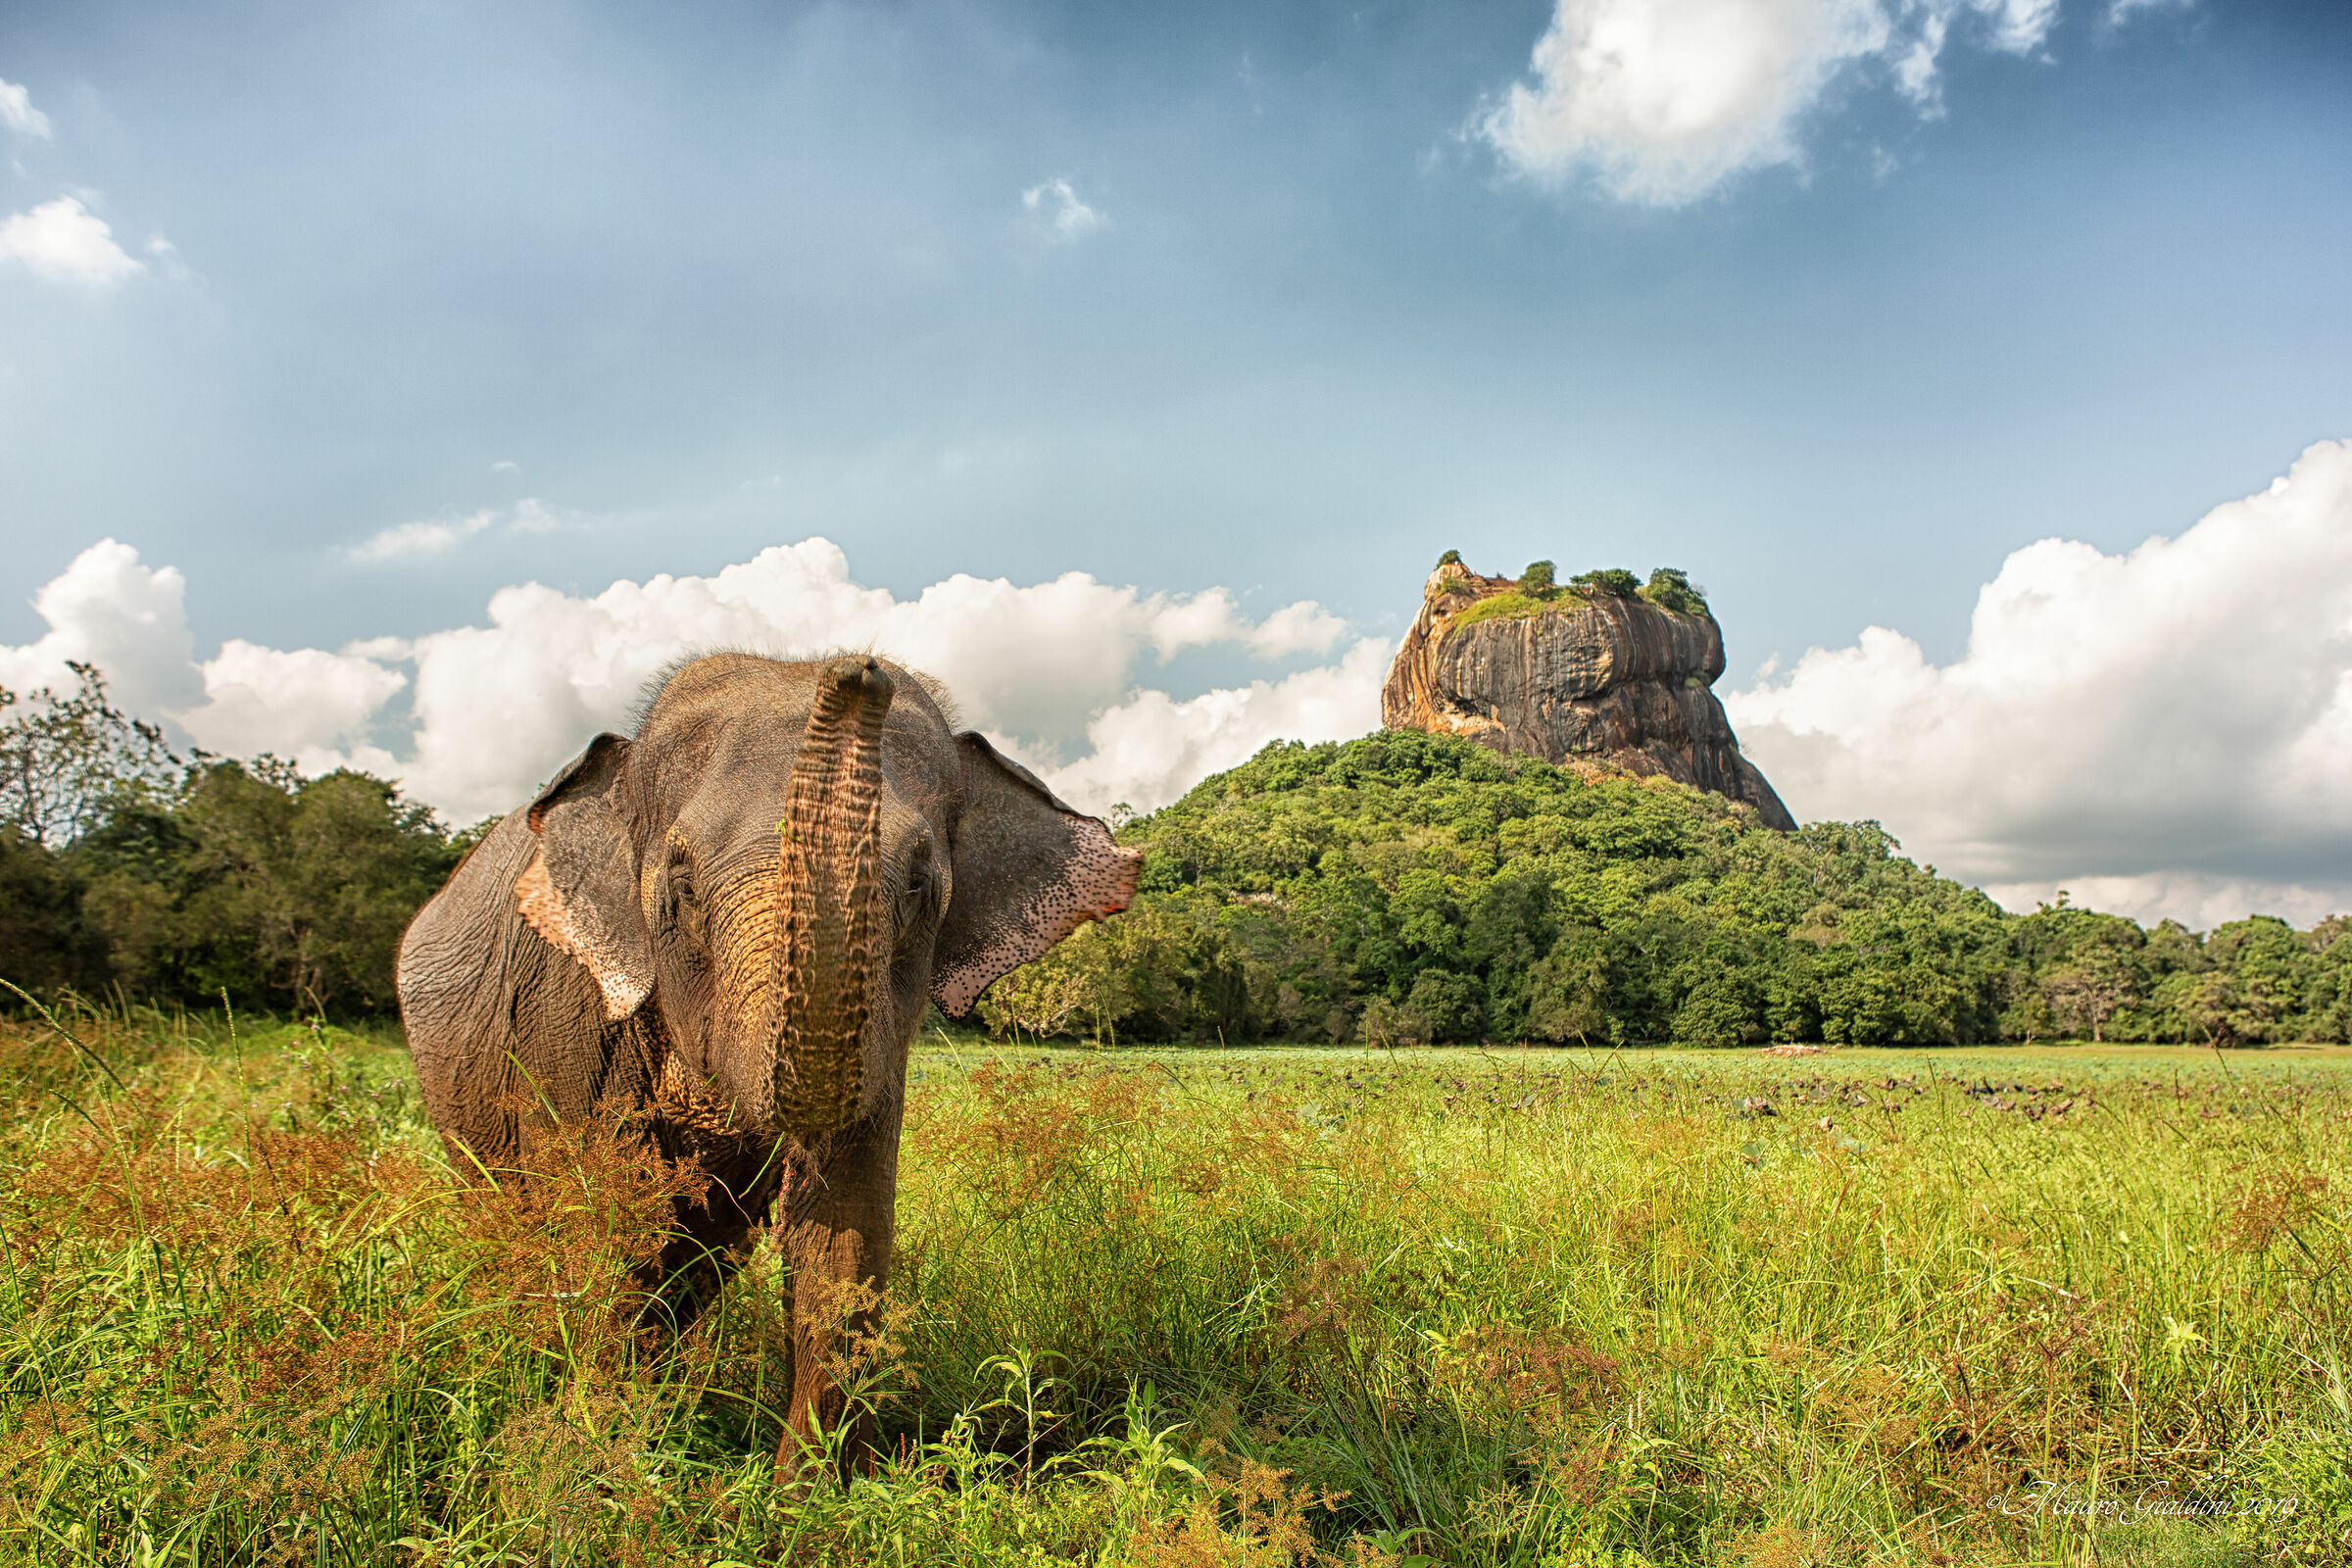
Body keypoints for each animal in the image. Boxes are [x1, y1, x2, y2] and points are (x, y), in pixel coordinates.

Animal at [395, 652, 1139, 1470]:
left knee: (698, 1262)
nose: (860, 671)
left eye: (919, 886)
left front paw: (811, 1489)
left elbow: (843, 1229)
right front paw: (613, 1456)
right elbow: (608, 1215)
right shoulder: (564, 1008)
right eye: (682, 887)